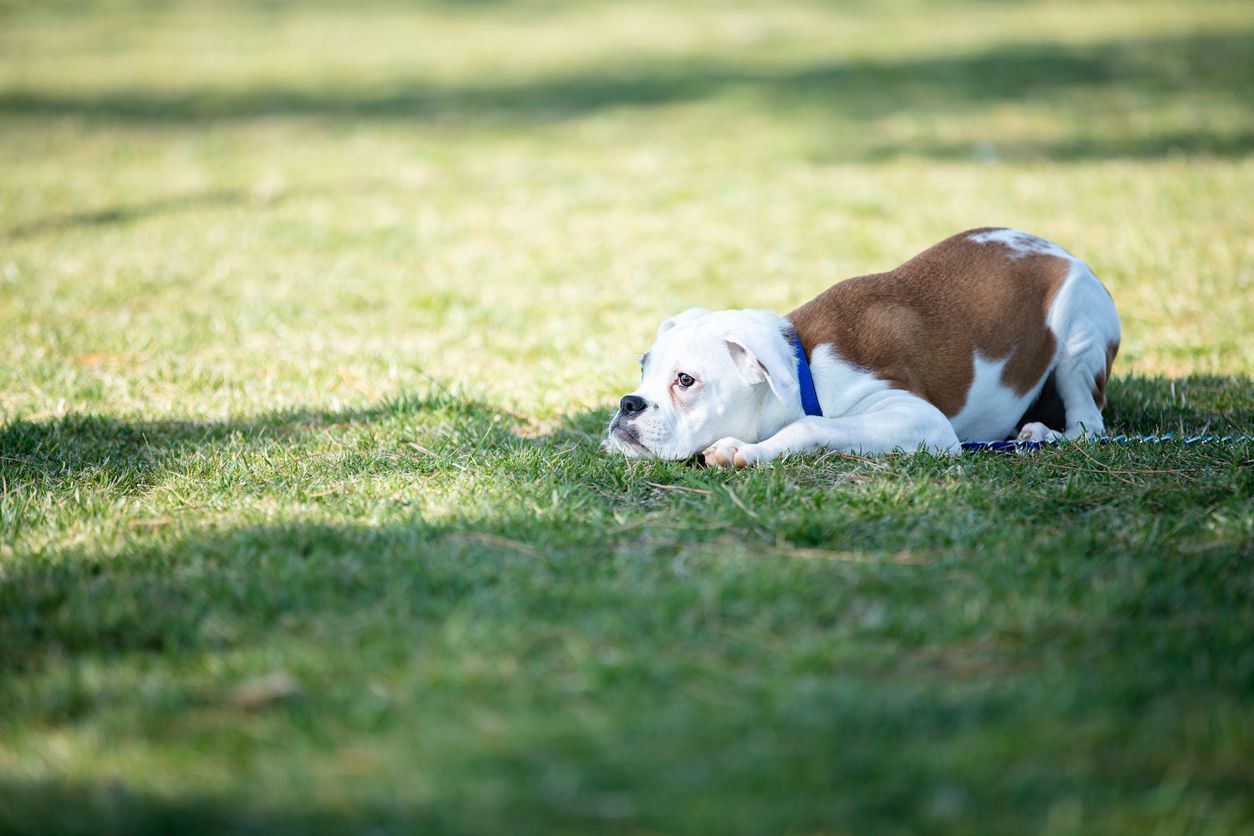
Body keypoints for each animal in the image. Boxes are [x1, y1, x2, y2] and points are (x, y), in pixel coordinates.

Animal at [601, 226, 1123, 471]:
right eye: (643, 370)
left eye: (686, 380)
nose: (628, 404)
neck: (805, 371)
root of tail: (1060, 251)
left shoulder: (920, 421)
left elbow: (812, 427)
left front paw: (743, 449)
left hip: (1078, 339)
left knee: (1089, 426)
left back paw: (1044, 434)